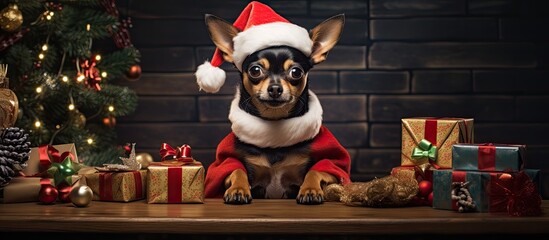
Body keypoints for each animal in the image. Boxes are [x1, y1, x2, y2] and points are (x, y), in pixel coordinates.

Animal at [199, 1, 348, 204]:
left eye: (296, 72)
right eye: (255, 70)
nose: (275, 89)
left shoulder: (332, 165)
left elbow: (316, 170)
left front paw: (310, 190)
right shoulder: (228, 164)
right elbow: (236, 169)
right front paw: (238, 189)